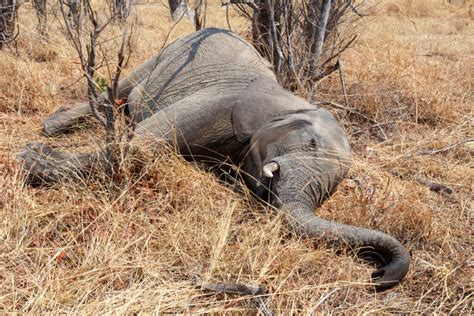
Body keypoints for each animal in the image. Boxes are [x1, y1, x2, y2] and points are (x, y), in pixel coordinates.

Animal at [19, 27, 412, 288]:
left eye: (333, 189)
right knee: (118, 90)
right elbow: (142, 144)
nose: (376, 274)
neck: (289, 102)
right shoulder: (223, 102)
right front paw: (31, 159)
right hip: (168, 53)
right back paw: (52, 127)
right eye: (311, 143)